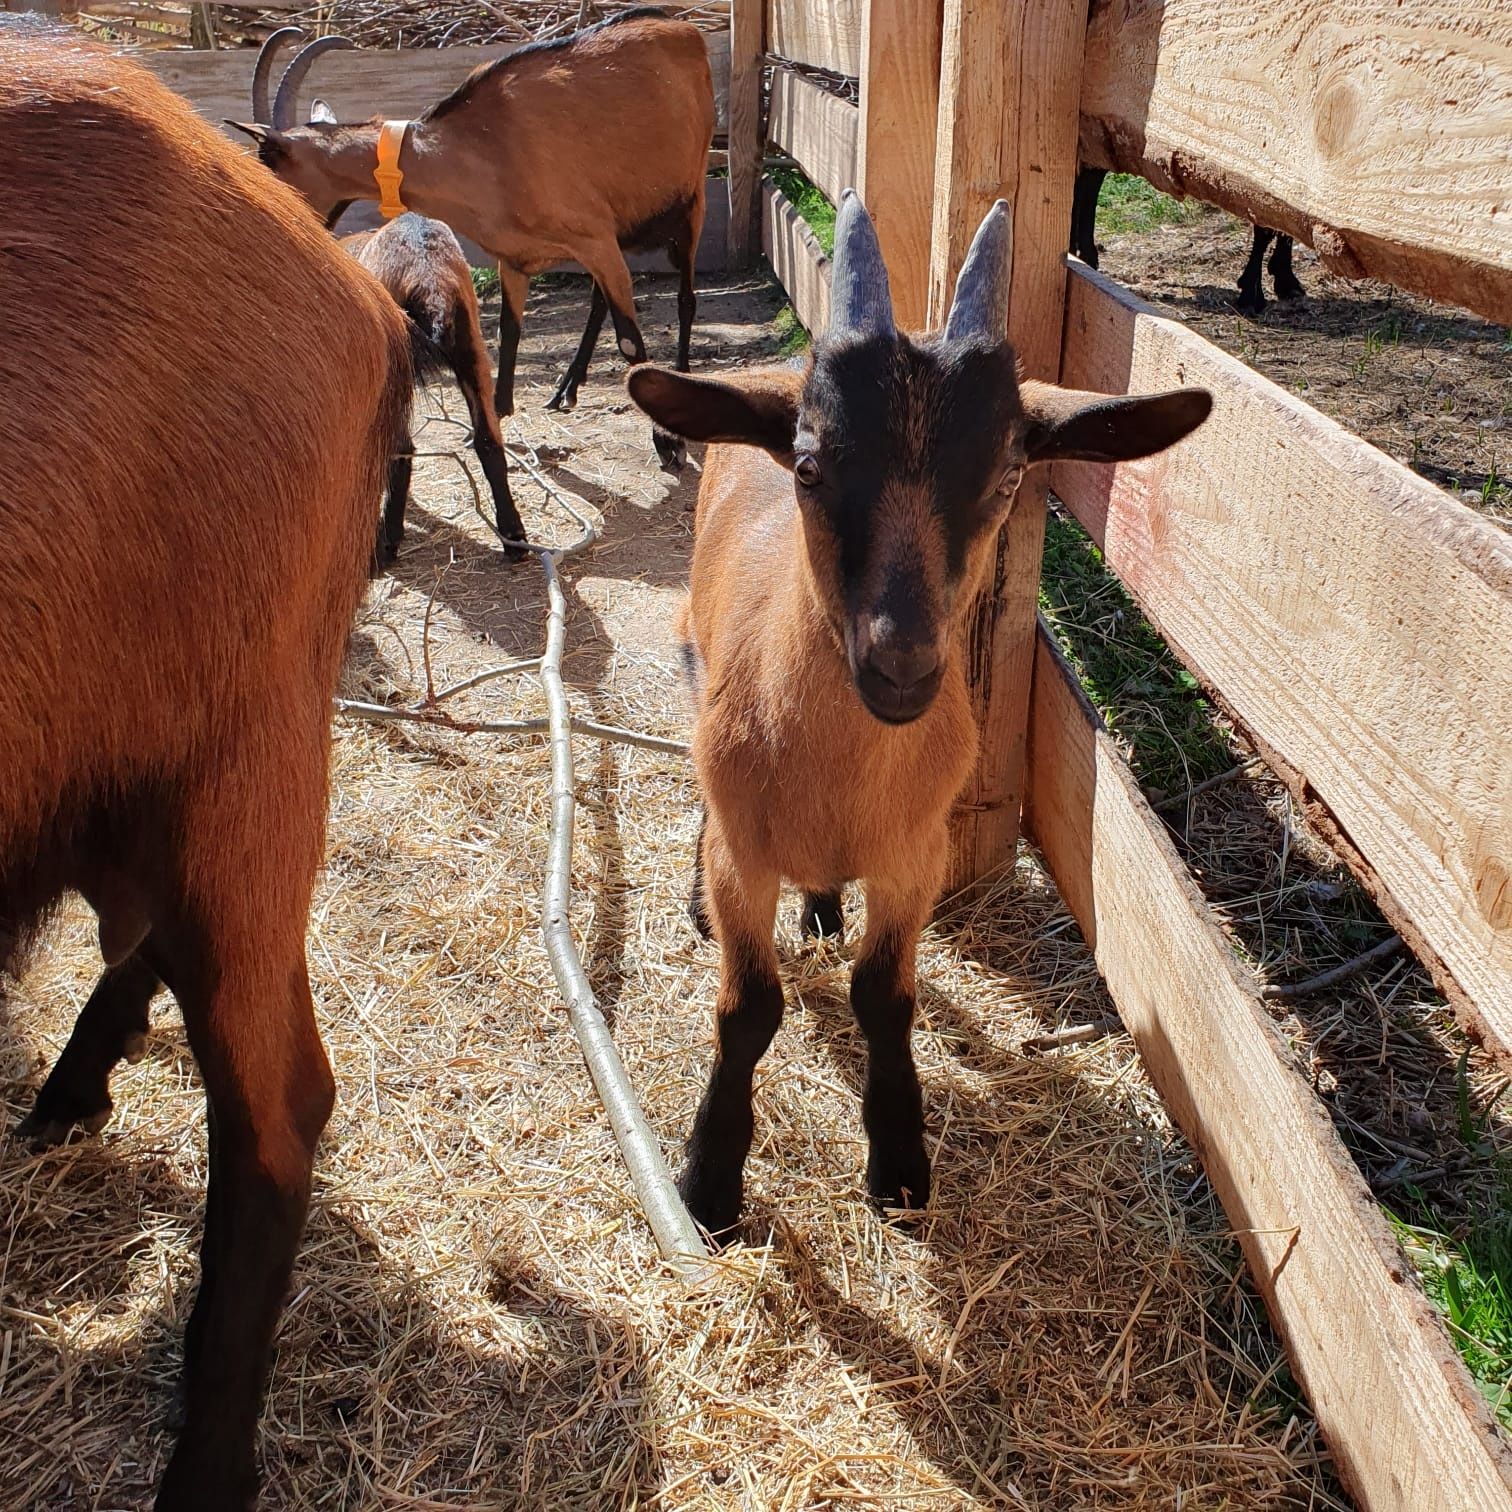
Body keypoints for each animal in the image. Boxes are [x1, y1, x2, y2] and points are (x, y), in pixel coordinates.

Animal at [232, 10, 716, 465]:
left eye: (270, 165)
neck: (479, 149)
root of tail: (682, 28)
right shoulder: (518, 257)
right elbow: (508, 330)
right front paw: (495, 414)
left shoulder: (593, 239)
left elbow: (631, 341)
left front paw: (668, 444)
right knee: (600, 301)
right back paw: (566, 390)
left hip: (691, 196)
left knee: (685, 297)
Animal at [340, 213, 529, 562]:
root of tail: (428, 275)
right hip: (472, 349)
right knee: (489, 441)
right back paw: (513, 537)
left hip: (396, 374)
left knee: (401, 450)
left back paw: (386, 545)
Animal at [625, 192, 1215, 1239]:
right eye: (810, 466)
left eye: (1011, 472)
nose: (901, 662)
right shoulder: (746, 853)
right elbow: (749, 1009)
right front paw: (709, 1183)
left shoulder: (917, 857)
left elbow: (883, 997)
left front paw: (899, 1164)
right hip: (692, 650)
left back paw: (824, 909)